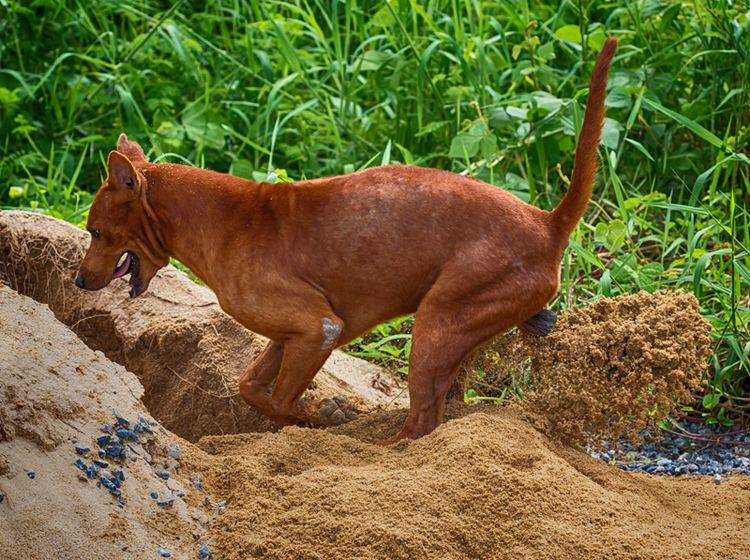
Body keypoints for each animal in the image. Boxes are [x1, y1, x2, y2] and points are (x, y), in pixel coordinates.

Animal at [76, 38, 616, 442]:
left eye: (95, 231)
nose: (79, 281)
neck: (216, 218)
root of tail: (546, 221)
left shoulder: (319, 329)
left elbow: (280, 400)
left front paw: (320, 422)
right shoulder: (288, 337)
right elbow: (251, 388)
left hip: (434, 325)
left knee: (421, 422)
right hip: (459, 332)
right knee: (443, 410)